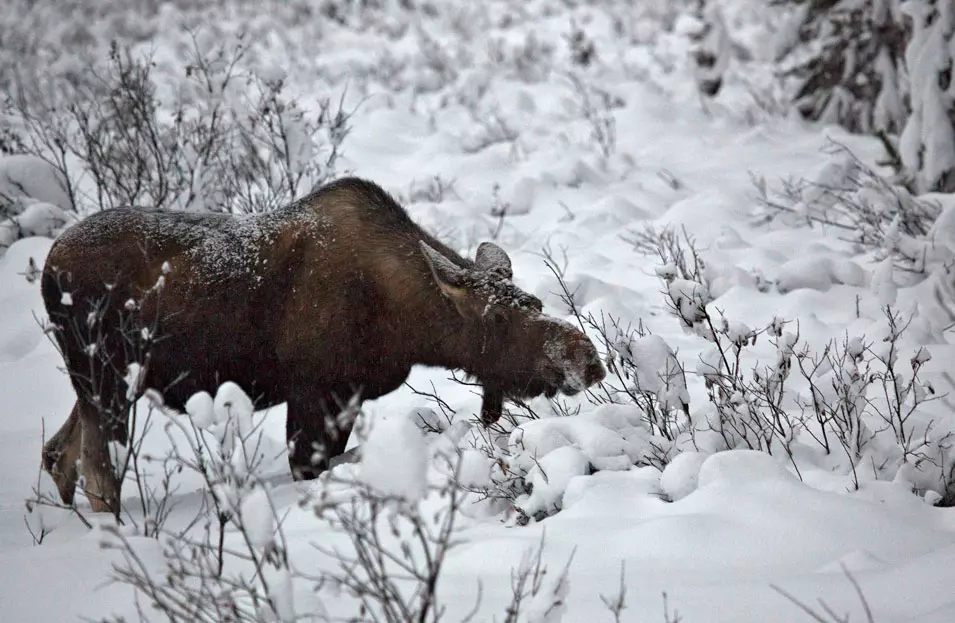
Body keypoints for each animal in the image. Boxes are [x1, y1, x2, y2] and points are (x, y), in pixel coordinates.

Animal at [39, 176, 604, 512]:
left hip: (103, 383)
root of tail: (48, 267)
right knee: (99, 476)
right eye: (501, 317)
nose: (588, 359)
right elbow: (316, 468)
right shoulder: (315, 394)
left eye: (534, 301)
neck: (407, 327)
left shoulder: (344, 398)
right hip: (105, 378)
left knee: (57, 452)